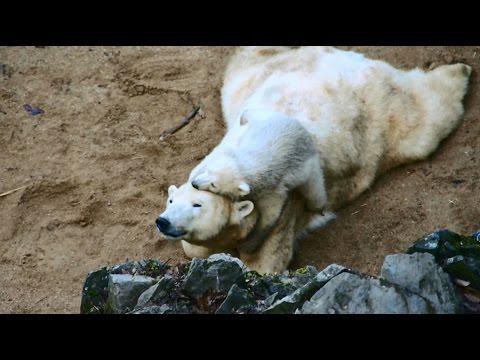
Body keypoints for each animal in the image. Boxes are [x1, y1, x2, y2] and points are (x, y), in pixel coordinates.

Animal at [189, 108, 328, 252]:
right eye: (208, 171)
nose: (194, 184)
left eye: (214, 185)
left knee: (314, 187)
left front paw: (248, 245)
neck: (253, 166)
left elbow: (270, 216)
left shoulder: (272, 189)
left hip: (308, 164)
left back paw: (319, 208)